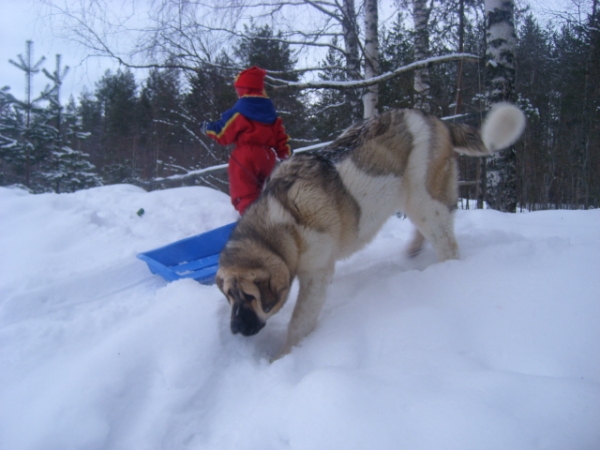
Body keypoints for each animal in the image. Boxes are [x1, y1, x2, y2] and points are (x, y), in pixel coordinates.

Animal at [217, 103, 524, 360]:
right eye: (229, 296)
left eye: (250, 297)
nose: (234, 329)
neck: (282, 222)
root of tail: (432, 118)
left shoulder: (315, 275)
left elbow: (299, 321)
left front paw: (281, 358)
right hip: (411, 198)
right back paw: (415, 249)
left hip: (424, 196)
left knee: (445, 241)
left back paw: (443, 270)